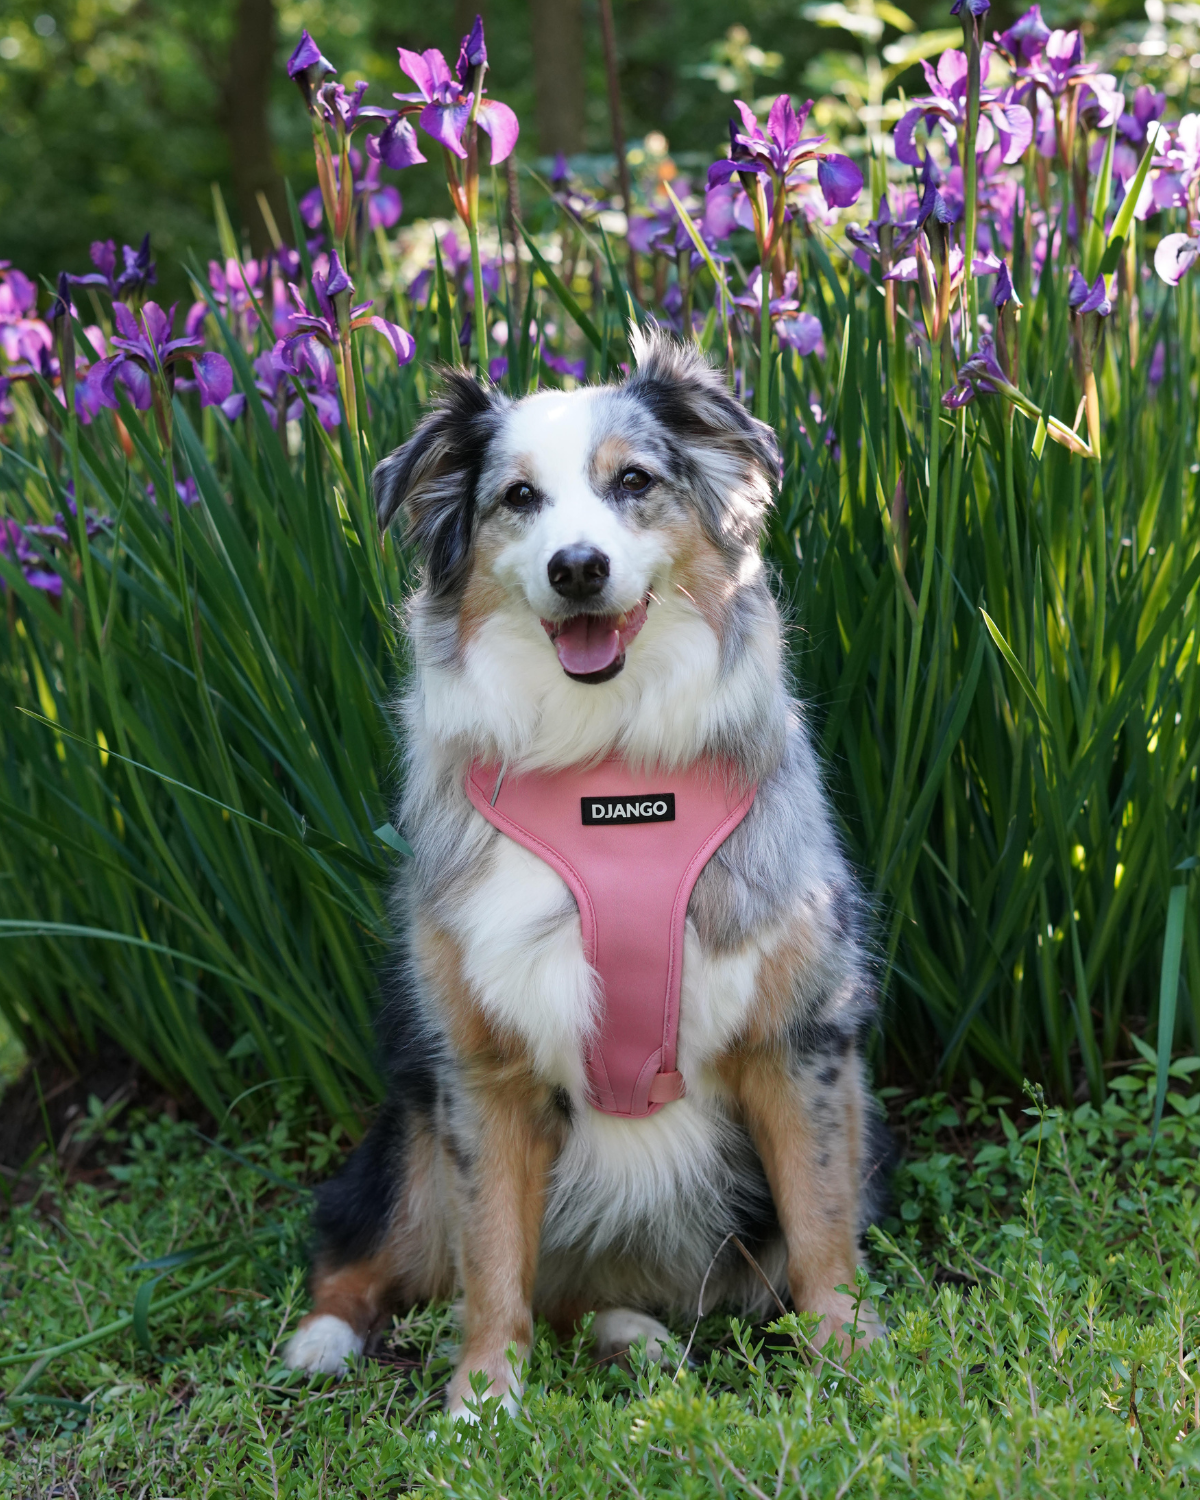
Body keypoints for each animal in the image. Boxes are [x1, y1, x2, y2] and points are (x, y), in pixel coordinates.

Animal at [286, 328, 888, 1416]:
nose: (577, 567)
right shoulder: (480, 1064)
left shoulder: (800, 1032)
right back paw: (322, 1339)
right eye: (518, 497)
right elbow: (491, 1257)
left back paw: (633, 1335)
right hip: (412, 1132)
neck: (606, 766)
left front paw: (848, 1353)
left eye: (634, 481)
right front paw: (482, 1400)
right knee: (369, 1242)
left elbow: (822, 1217)